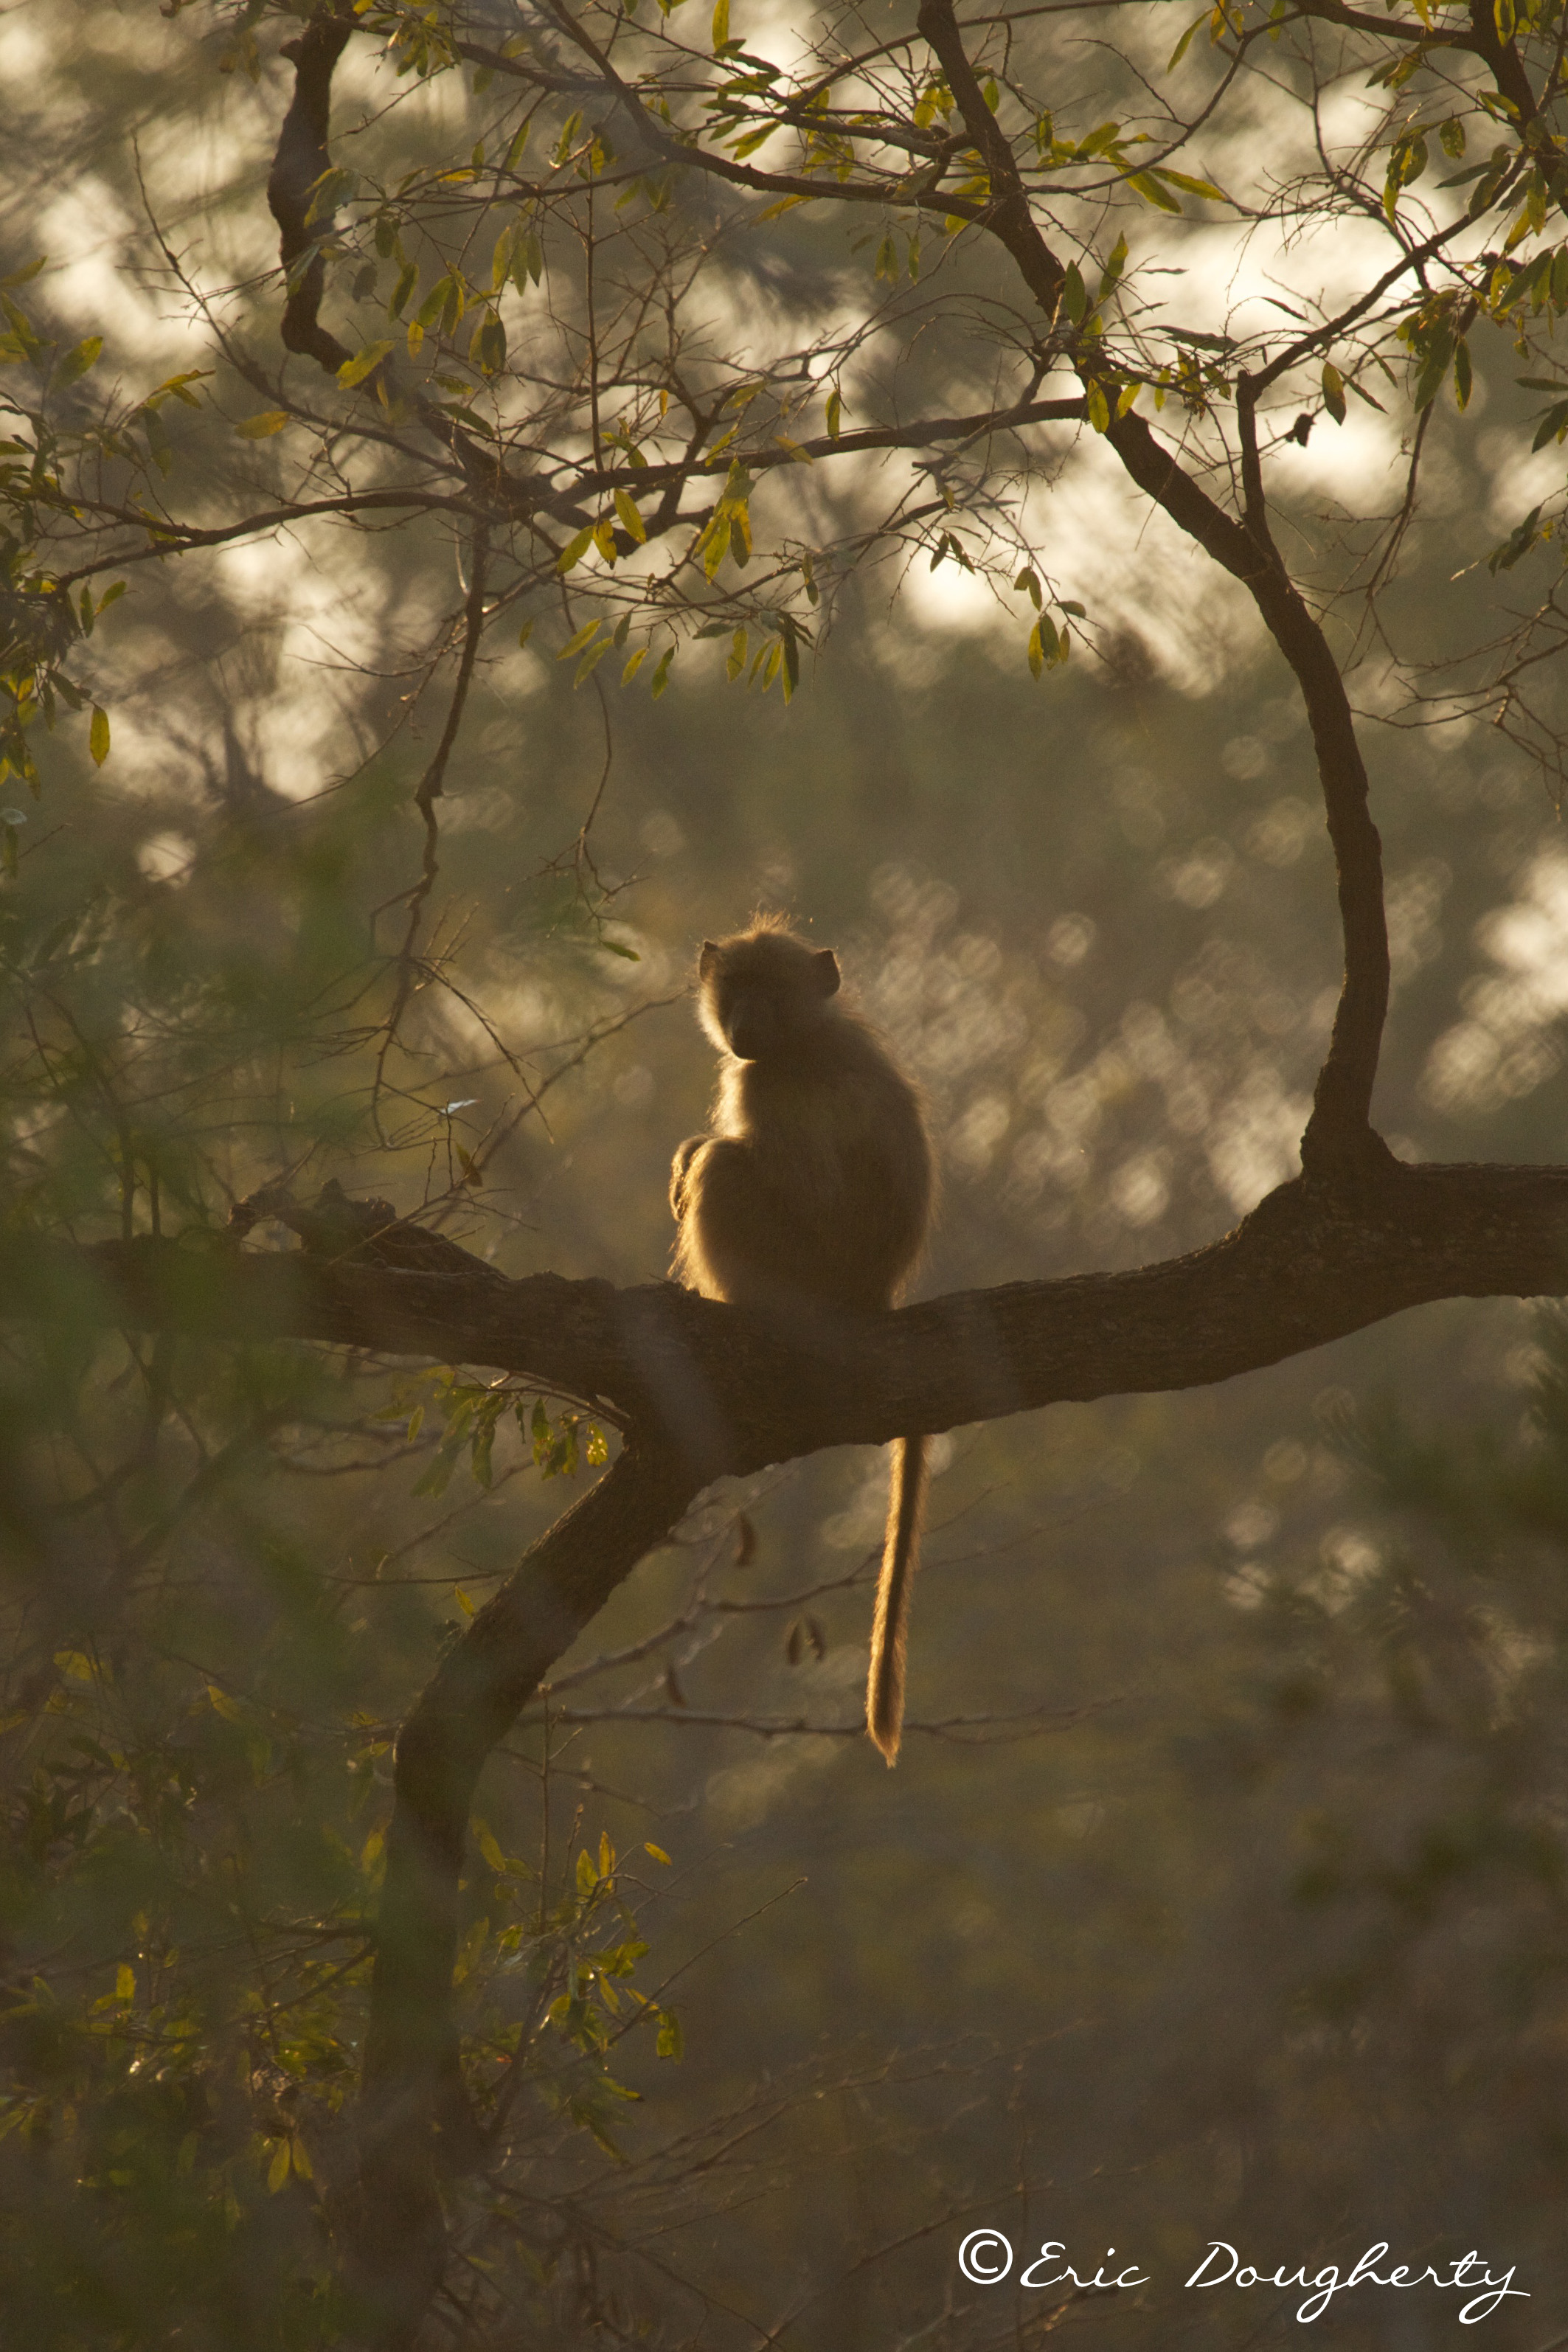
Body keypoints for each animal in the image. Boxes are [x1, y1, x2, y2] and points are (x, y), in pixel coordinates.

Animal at [669, 917, 935, 1765]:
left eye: (771, 993)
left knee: (727, 1172)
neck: (800, 1041)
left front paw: (691, 1154)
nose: (743, 1026)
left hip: (794, 1274)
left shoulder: (769, 1088)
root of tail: (872, 1299)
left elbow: (790, 1179)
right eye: (736, 989)